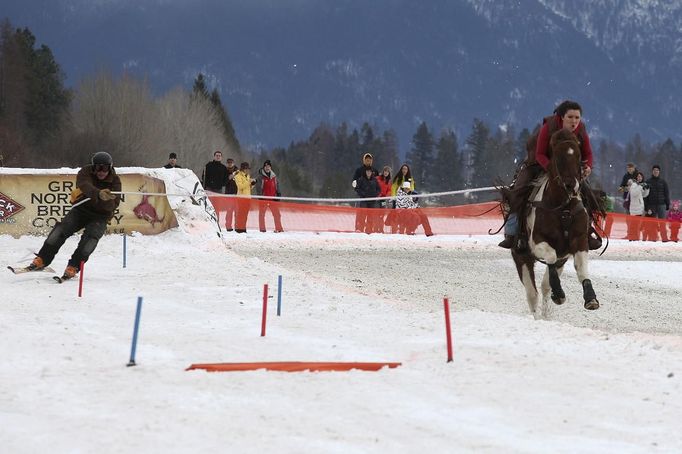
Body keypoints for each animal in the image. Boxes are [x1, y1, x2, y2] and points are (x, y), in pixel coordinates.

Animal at [508, 127, 596, 320]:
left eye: (578, 155)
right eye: (557, 155)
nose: (571, 185)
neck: (563, 207)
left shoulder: (579, 241)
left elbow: (581, 268)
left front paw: (591, 298)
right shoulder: (537, 242)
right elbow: (550, 256)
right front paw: (559, 292)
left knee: (544, 286)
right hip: (521, 257)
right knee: (532, 294)